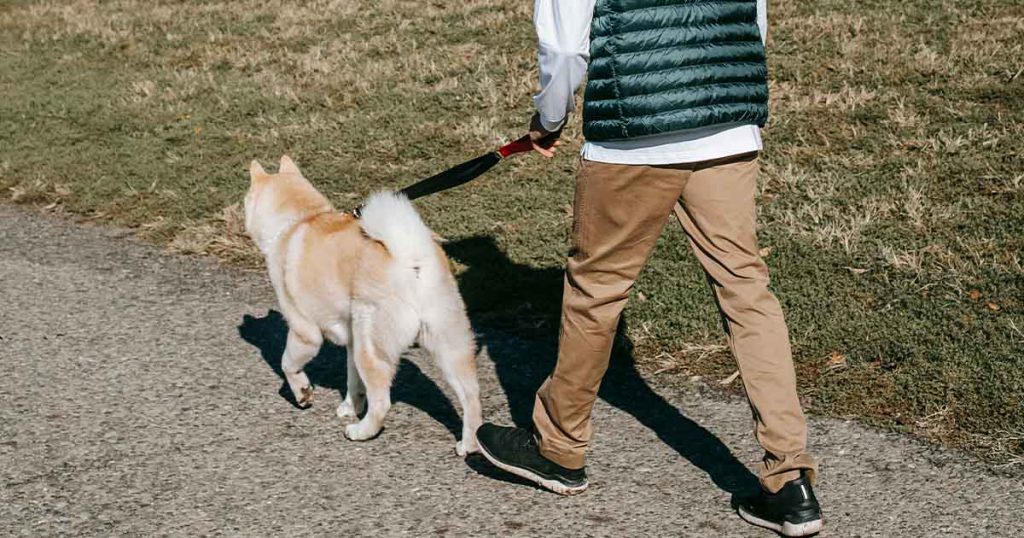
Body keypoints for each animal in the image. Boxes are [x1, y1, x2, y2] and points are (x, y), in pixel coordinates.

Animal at [248, 153, 487, 452]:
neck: (298, 220)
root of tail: (410, 257)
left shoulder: (305, 332)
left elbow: (288, 364)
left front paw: (302, 393)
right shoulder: (352, 340)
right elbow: (353, 382)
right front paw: (350, 407)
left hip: (372, 348)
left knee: (382, 402)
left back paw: (361, 431)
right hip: (446, 344)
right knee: (471, 396)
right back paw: (470, 443)